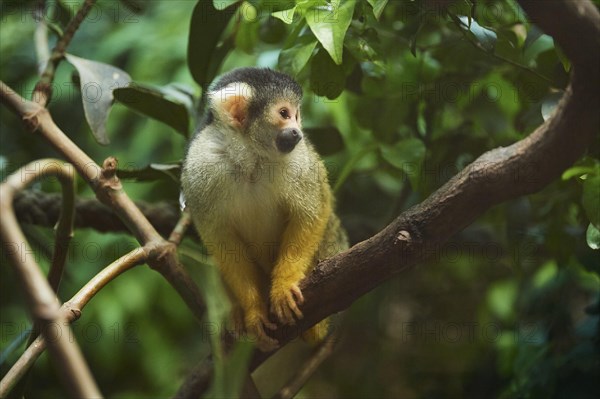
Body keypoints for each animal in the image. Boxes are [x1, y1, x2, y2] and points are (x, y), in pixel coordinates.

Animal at [180, 69, 346, 354]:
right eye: (284, 113)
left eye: (297, 115)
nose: (298, 132)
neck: (250, 157)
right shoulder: (200, 165)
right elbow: (219, 239)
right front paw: (253, 312)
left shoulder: (299, 160)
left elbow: (313, 211)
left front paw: (284, 286)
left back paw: (317, 328)